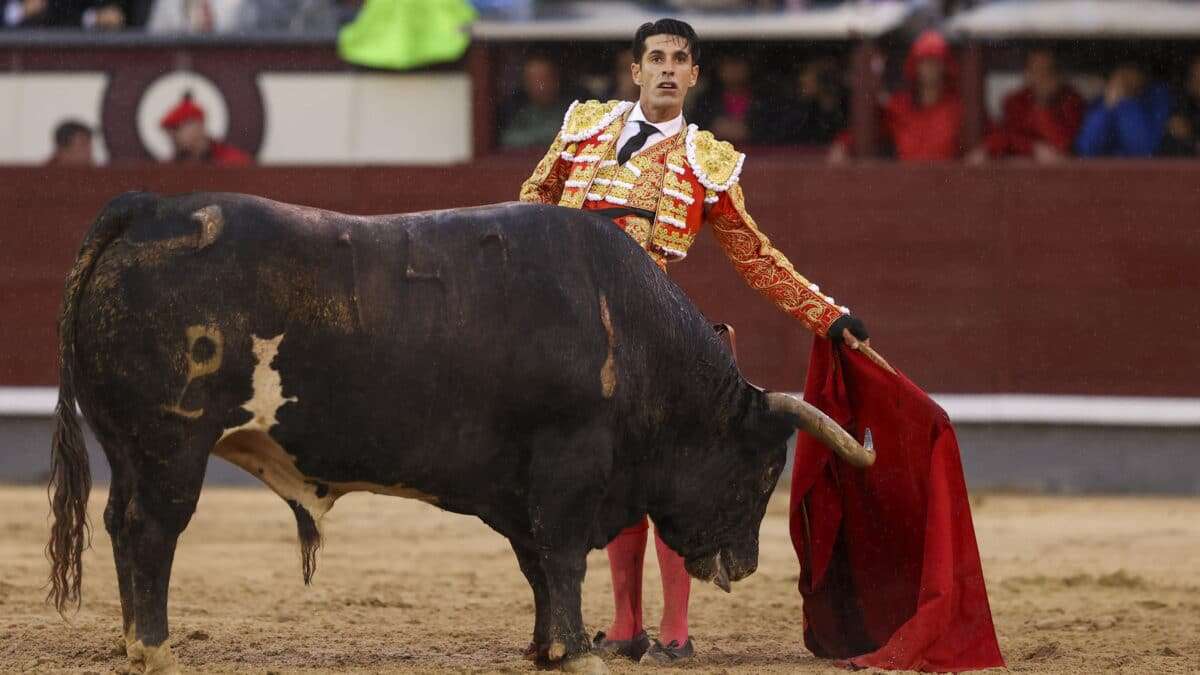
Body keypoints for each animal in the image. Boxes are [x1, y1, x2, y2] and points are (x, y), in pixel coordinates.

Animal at [46, 190, 873, 672]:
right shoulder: (570, 463)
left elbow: (538, 563)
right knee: (153, 527)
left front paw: (548, 647)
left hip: (128, 444)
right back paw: (155, 648)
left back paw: (133, 640)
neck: (628, 328)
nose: (745, 564)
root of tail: (149, 209)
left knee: (118, 523)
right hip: (171, 443)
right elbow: (563, 557)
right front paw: (580, 653)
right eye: (765, 468)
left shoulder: (521, 483)